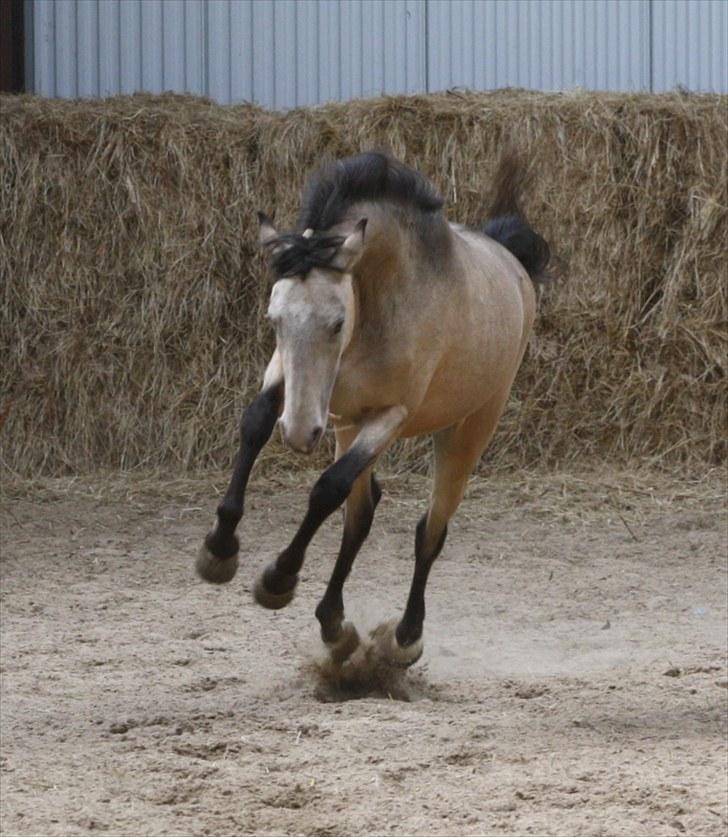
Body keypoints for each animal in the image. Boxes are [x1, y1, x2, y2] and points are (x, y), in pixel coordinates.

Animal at [196, 150, 548, 668]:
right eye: (274, 318)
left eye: (336, 321)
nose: (298, 434)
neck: (378, 302)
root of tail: (512, 264)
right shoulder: (291, 380)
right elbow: (256, 423)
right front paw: (220, 549)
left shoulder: (390, 415)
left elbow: (327, 488)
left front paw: (279, 577)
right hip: (345, 423)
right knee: (360, 516)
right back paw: (333, 625)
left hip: (466, 429)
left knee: (429, 531)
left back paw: (404, 636)